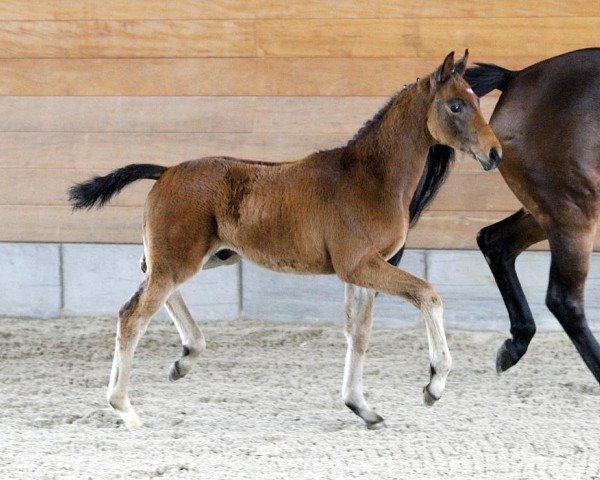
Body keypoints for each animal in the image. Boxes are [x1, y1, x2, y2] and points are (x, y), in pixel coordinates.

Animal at [69, 51, 502, 428]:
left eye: (476, 99)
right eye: (456, 106)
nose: (495, 152)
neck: (369, 177)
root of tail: (166, 171)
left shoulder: (363, 272)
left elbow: (359, 335)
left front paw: (361, 407)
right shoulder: (361, 265)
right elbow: (428, 295)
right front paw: (434, 384)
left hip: (209, 256)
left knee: (149, 283)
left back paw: (186, 357)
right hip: (182, 258)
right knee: (134, 314)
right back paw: (125, 408)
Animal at [464, 49, 600, 382]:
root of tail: (517, 77)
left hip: (550, 212)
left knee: (494, 241)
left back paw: (515, 344)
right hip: (573, 211)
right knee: (565, 301)